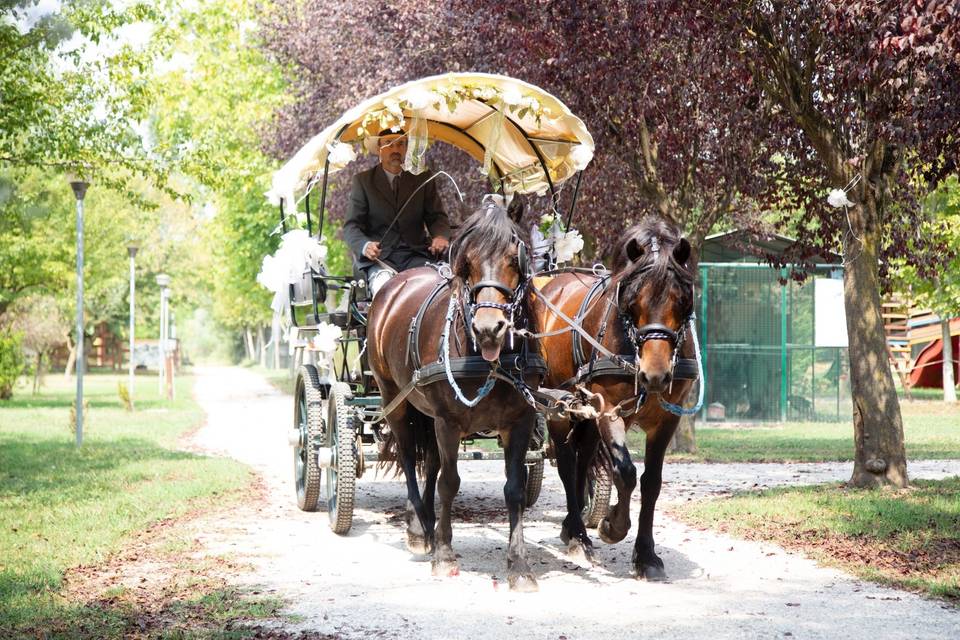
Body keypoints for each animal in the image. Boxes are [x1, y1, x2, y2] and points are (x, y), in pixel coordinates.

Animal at [372, 199, 544, 592]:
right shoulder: (449, 421)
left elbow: (514, 488)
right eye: (467, 262)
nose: (489, 328)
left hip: (428, 414)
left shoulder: (521, 421)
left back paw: (426, 521)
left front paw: (519, 564)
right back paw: (420, 529)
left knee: (430, 461)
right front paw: (445, 555)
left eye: (515, 257)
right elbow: (450, 483)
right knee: (409, 456)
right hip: (395, 399)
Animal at [532, 216, 696, 580]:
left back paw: (572, 525)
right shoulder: (609, 409)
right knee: (568, 462)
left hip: (584, 411)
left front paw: (646, 555)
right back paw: (578, 535)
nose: (654, 375)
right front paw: (613, 525)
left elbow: (651, 482)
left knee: (583, 457)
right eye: (631, 302)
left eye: (682, 301)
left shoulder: (667, 418)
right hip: (556, 404)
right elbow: (625, 471)